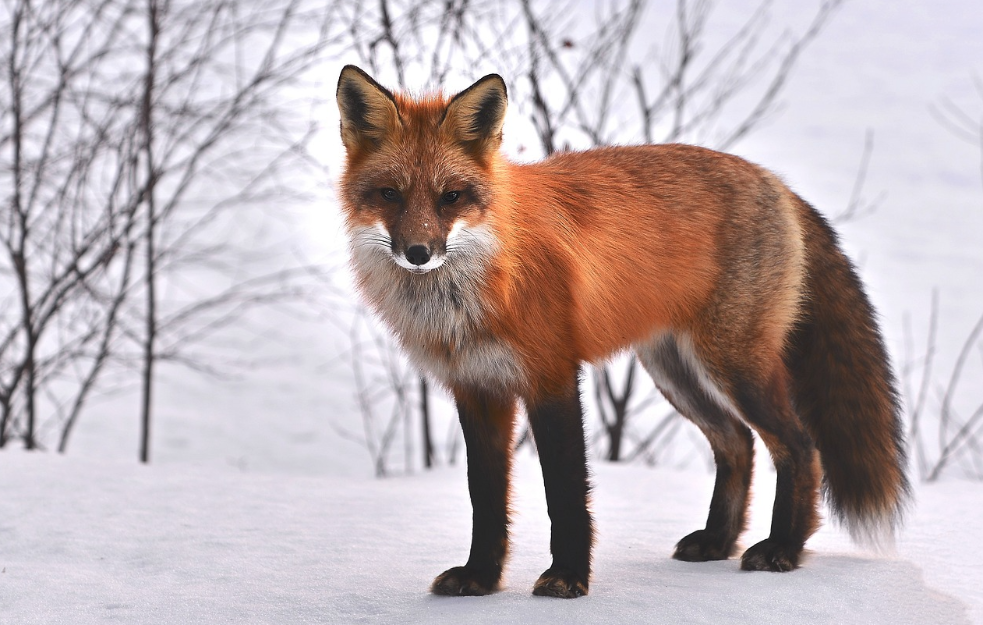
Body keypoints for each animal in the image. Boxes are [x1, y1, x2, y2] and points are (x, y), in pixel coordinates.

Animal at [334, 66, 912, 596]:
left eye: (451, 197)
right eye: (389, 194)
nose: (418, 253)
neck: (479, 285)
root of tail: (776, 182)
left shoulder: (552, 377)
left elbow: (565, 492)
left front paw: (568, 578)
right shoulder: (477, 389)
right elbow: (486, 498)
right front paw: (480, 578)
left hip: (733, 365)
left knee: (799, 446)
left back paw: (783, 549)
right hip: (675, 372)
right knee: (738, 443)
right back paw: (718, 542)